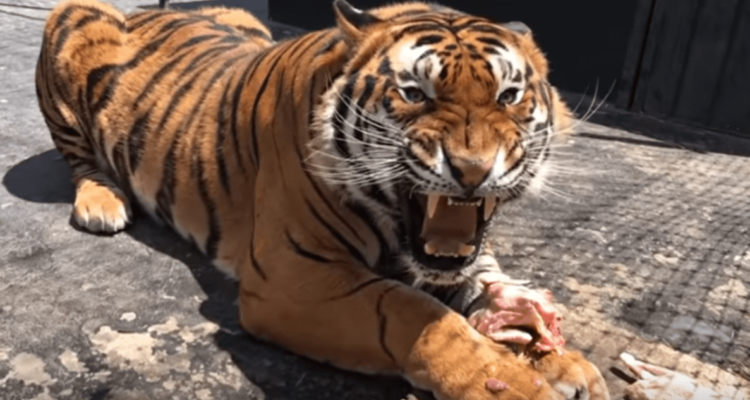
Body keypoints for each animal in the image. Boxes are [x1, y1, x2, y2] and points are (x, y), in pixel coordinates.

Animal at [35, 0, 611, 398]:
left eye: (509, 97)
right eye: (414, 94)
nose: (472, 170)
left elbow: (486, 286)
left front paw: (560, 360)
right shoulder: (294, 276)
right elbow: (416, 314)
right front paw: (512, 384)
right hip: (73, 20)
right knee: (79, 158)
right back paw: (102, 202)